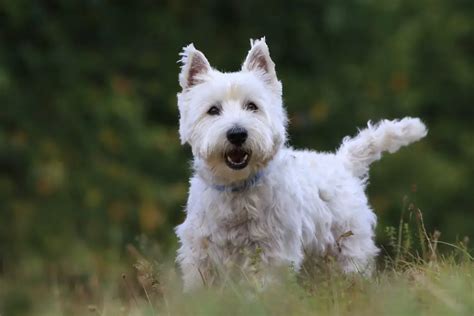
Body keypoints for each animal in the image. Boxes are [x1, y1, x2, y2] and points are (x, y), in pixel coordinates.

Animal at [176, 37, 428, 292]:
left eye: (252, 106)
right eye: (213, 110)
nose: (237, 134)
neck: (237, 188)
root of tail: (342, 162)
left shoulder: (272, 251)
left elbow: (265, 287)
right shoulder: (199, 252)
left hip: (349, 245)